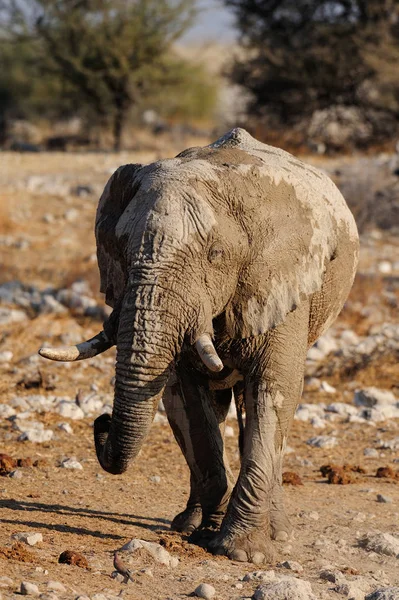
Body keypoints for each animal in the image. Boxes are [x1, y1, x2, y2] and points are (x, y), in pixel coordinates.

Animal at [39, 129, 360, 564]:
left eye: (215, 255)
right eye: (120, 249)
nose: (100, 422)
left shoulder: (283, 281)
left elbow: (274, 388)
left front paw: (245, 554)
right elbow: (189, 400)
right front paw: (208, 533)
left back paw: (277, 532)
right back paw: (188, 524)